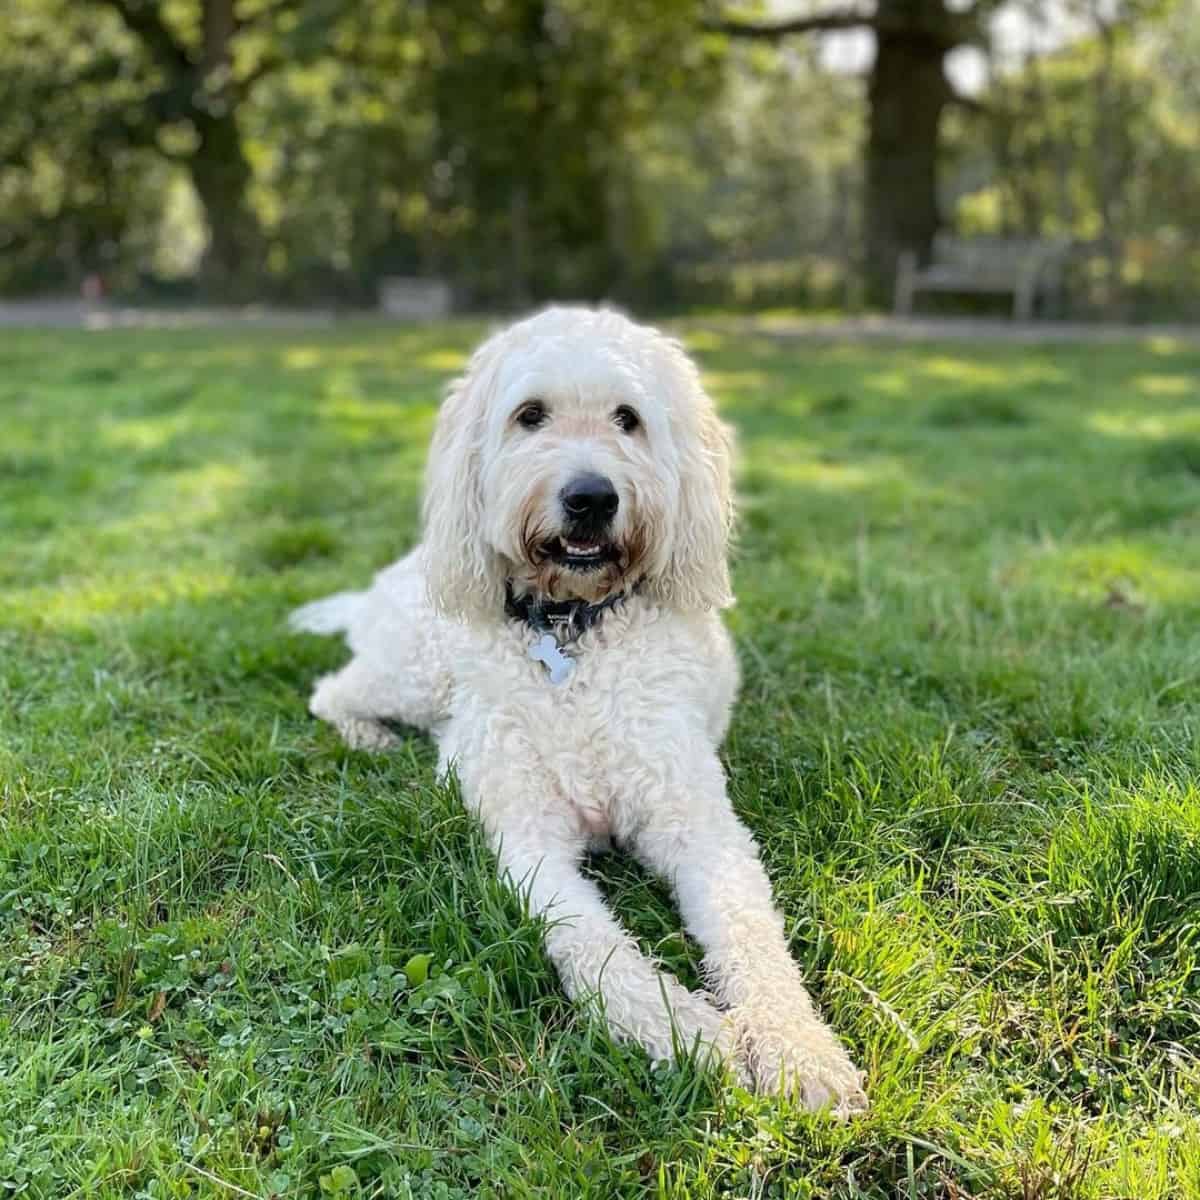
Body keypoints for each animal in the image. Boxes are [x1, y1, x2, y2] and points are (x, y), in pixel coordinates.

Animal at [292, 307, 873, 1113]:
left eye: (628, 418)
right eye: (529, 414)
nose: (592, 498)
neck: (572, 629)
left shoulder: (696, 821)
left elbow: (750, 929)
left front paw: (798, 1048)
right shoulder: (529, 841)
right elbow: (594, 947)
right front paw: (688, 1033)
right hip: (411, 669)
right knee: (333, 692)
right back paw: (372, 741)